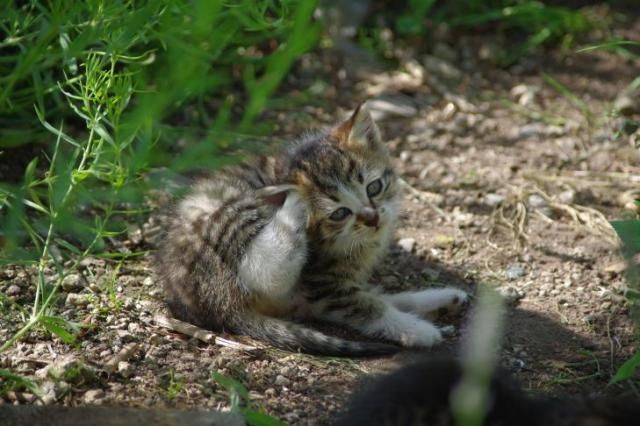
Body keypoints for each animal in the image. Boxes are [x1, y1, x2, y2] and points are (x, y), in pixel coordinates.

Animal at [153, 103, 468, 356]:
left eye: (374, 187)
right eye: (339, 213)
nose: (372, 218)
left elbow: (369, 296)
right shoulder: (322, 285)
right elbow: (365, 306)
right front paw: (415, 331)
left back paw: (441, 299)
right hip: (230, 219)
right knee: (264, 268)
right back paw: (294, 201)